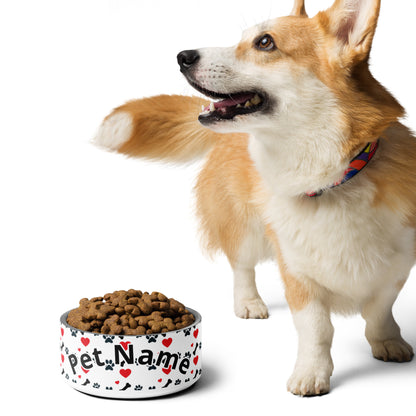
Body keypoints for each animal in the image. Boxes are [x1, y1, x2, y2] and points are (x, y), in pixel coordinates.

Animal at [94, 0, 412, 396]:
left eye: (264, 42)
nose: (182, 56)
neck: (335, 179)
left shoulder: (397, 267)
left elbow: (379, 310)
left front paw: (388, 342)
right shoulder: (297, 271)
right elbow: (317, 329)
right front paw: (311, 374)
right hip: (245, 231)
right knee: (241, 267)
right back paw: (249, 303)